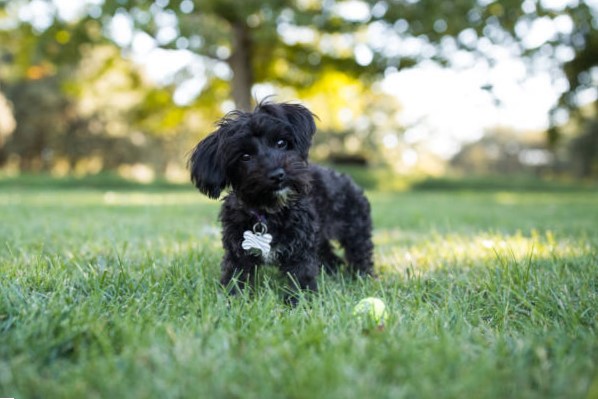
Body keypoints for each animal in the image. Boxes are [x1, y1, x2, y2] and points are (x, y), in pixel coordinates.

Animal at [190, 101, 376, 298]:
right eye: (245, 156)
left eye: (281, 143)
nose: (277, 174)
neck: (268, 212)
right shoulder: (237, 250)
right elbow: (235, 276)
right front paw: (232, 299)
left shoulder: (301, 249)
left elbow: (302, 276)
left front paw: (301, 301)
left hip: (355, 230)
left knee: (360, 254)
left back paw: (363, 278)